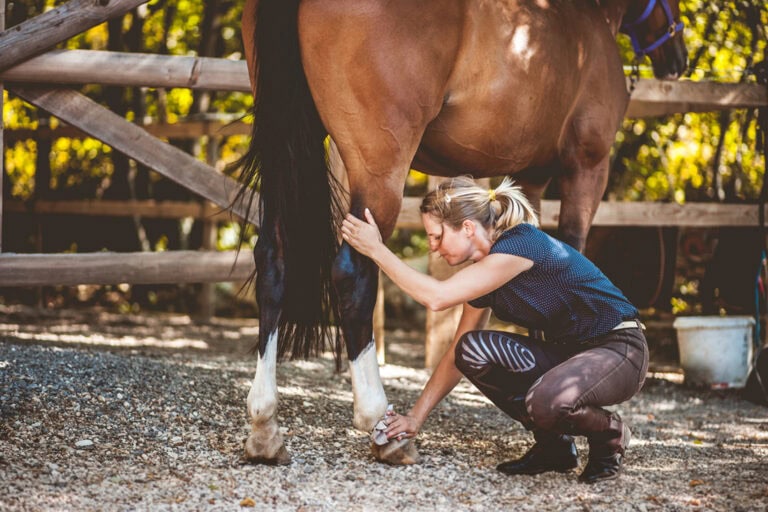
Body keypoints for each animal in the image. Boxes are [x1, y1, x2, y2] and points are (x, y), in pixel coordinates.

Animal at [236, 0, 687, 465]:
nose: (678, 58)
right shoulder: (588, 166)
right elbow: (569, 249)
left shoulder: (532, 174)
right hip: (379, 166)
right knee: (353, 273)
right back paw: (382, 425)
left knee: (273, 261)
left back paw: (265, 427)